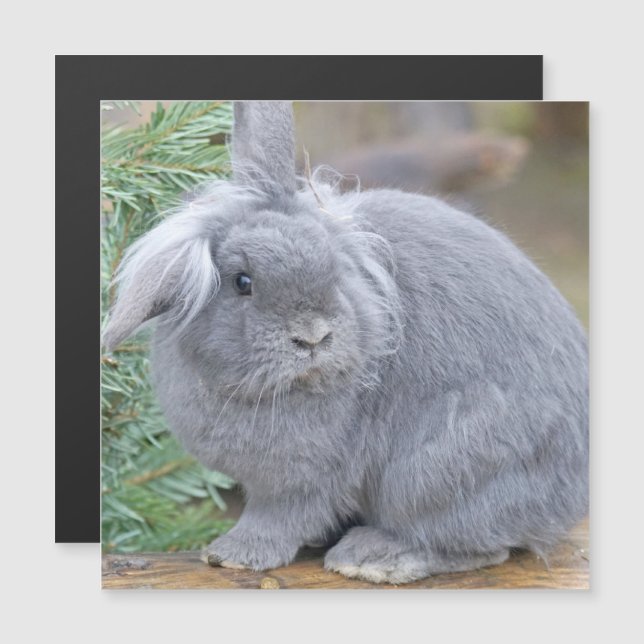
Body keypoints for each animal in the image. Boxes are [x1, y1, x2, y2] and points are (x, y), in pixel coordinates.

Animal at [102, 101, 588, 584]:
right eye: (243, 282)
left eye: (334, 268)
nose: (313, 336)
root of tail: (571, 494)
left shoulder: (301, 481)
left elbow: (278, 518)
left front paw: (233, 554)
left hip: (438, 472)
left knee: (478, 546)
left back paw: (373, 557)